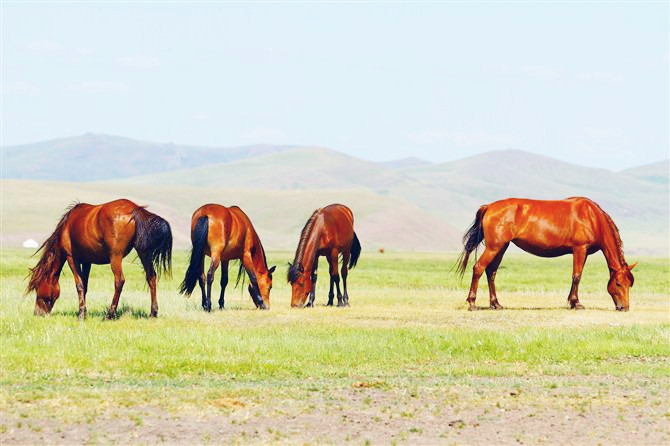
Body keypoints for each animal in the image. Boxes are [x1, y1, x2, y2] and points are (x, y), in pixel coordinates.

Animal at [26, 198, 173, 318]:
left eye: (37, 287)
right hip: (143, 253)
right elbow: (85, 285)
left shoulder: (72, 258)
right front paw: (84, 311)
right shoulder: (87, 261)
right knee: (151, 277)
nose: (37, 313)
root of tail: (135, 209)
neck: (67, 226)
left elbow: (79, 285)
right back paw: (153, 312)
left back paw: (110, 314)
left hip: (115, 257)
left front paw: (81, 314)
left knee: (119, 281)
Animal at [456, 197, 640, 312]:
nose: (624, 307)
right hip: (494, 247)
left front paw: (572, 301)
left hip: (501, 247)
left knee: (491, 272)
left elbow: (576, 276)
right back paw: (472, 303)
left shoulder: (584, 252)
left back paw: (496, 304)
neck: (593, 217)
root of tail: (489, 206)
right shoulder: (580, 249)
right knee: (478, 268)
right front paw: (576, 303)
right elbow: (577, 276)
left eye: (629, 284)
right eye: (618, 283)